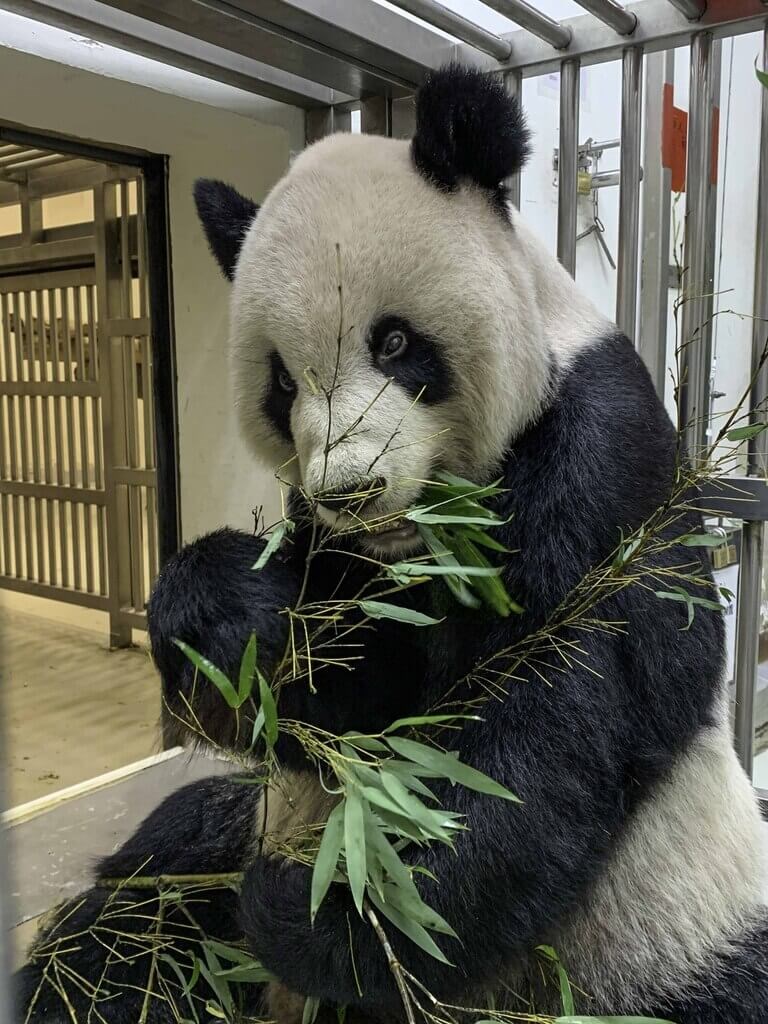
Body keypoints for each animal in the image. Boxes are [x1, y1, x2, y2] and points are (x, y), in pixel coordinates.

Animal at [16, 64, 768, 1024]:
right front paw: (219, 616)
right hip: (236, 837)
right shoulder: (338, 558)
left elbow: (544, 719)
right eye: (281, 381)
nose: (351, 492)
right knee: (148, 894)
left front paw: (334, 907)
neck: (421, 538)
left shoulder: (601, 459)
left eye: (398, 342)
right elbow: (356, 688)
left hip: (666, 941)